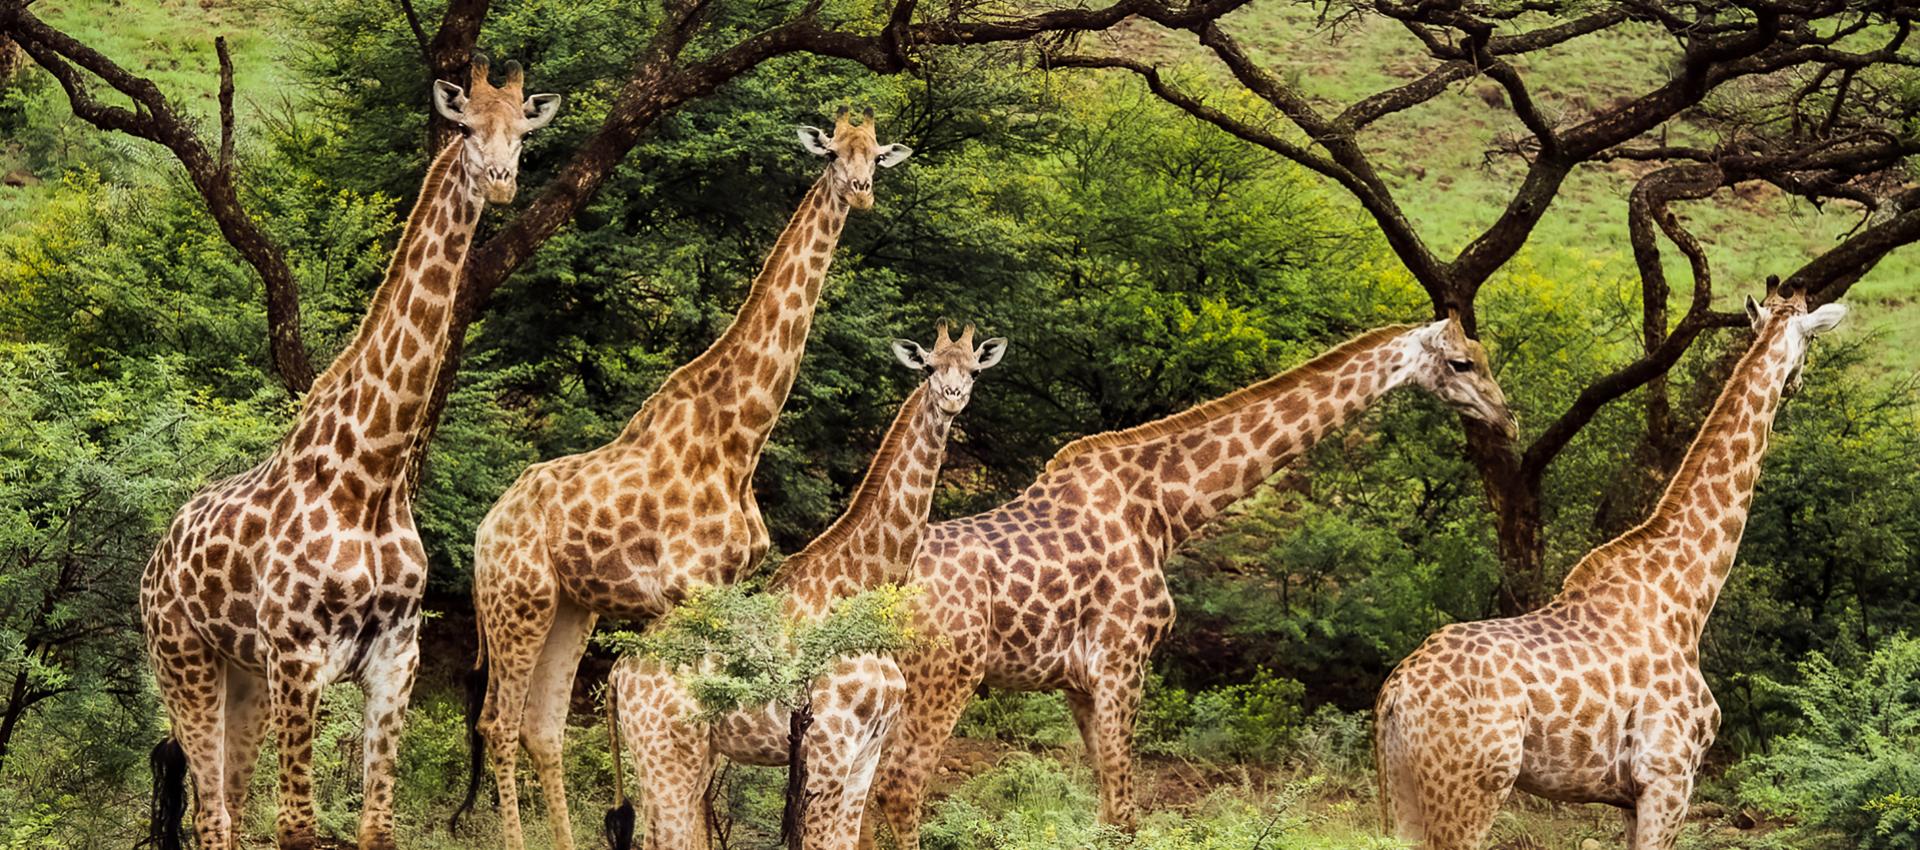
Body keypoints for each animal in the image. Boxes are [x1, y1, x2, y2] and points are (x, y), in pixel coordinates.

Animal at [138, 56, 560, 850]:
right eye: (465, 127)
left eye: (523, 133)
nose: (498, 181)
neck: (374, 473)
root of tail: (154, 561)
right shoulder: (298, 658)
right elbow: (298, 826)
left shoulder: (396, 659)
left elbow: (377, 826)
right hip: (185, 662)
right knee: (212, 814)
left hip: (244, 678)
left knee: (227, 801)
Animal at [460, 109, 917, 850]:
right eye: (833, 152)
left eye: (877, 156)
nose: (862, 191)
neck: (739, 437)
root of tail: (486, 525)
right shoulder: (686, 588)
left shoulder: (723, 589)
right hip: (517, 598)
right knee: (497, 722)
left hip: (572, 607)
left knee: (542, 728)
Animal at [610, 320, 1006, 850]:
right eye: (927, 366)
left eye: (974, 370)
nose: (952, 396)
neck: (859, 586)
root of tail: (620, 672)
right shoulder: (829, 748)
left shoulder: (866, 754)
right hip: (667, 752)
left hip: (688, 756)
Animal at [867, 318, 1512, 844]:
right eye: (1462, 362)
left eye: (1483, 356)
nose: (1506, 417)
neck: (1165, 510)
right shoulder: (1122, 660)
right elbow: (1123, 816)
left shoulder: (1080, 681)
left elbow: (1107, 807)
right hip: (945, 675)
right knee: (899, 787)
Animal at [1374, 287, 1850, 850]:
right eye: (1811, 340)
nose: (1796, 382)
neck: (1687, 596)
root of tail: (1396, 695)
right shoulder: (1668, 780)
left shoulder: (1630, 798)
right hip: (1470, 789)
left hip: (1403, 791)